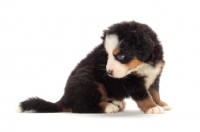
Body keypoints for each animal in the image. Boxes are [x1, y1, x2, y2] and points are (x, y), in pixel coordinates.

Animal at [19, 20, 171, 113]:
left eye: (121, 56)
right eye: (107, 55)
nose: (109, 72)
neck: (144, 63)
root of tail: (65, 98)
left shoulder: (155, 76)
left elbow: (155, 92)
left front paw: (160, 104)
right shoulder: (131, 81)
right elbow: (143, 95)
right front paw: (152, 107)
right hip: (90, 82)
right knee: (80, 106)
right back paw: (109, 106)